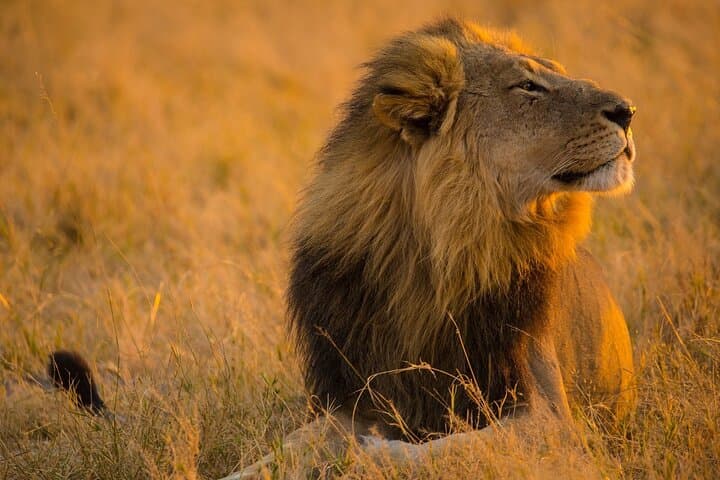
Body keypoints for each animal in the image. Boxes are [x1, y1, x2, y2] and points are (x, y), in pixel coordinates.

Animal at [225, 18, 636, 478]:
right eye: (528, 86)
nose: (628, 111)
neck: (433, 261)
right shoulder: (357, 397)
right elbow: (293, 444)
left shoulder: (554, 423)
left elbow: (449, 448)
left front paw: (370, 453)